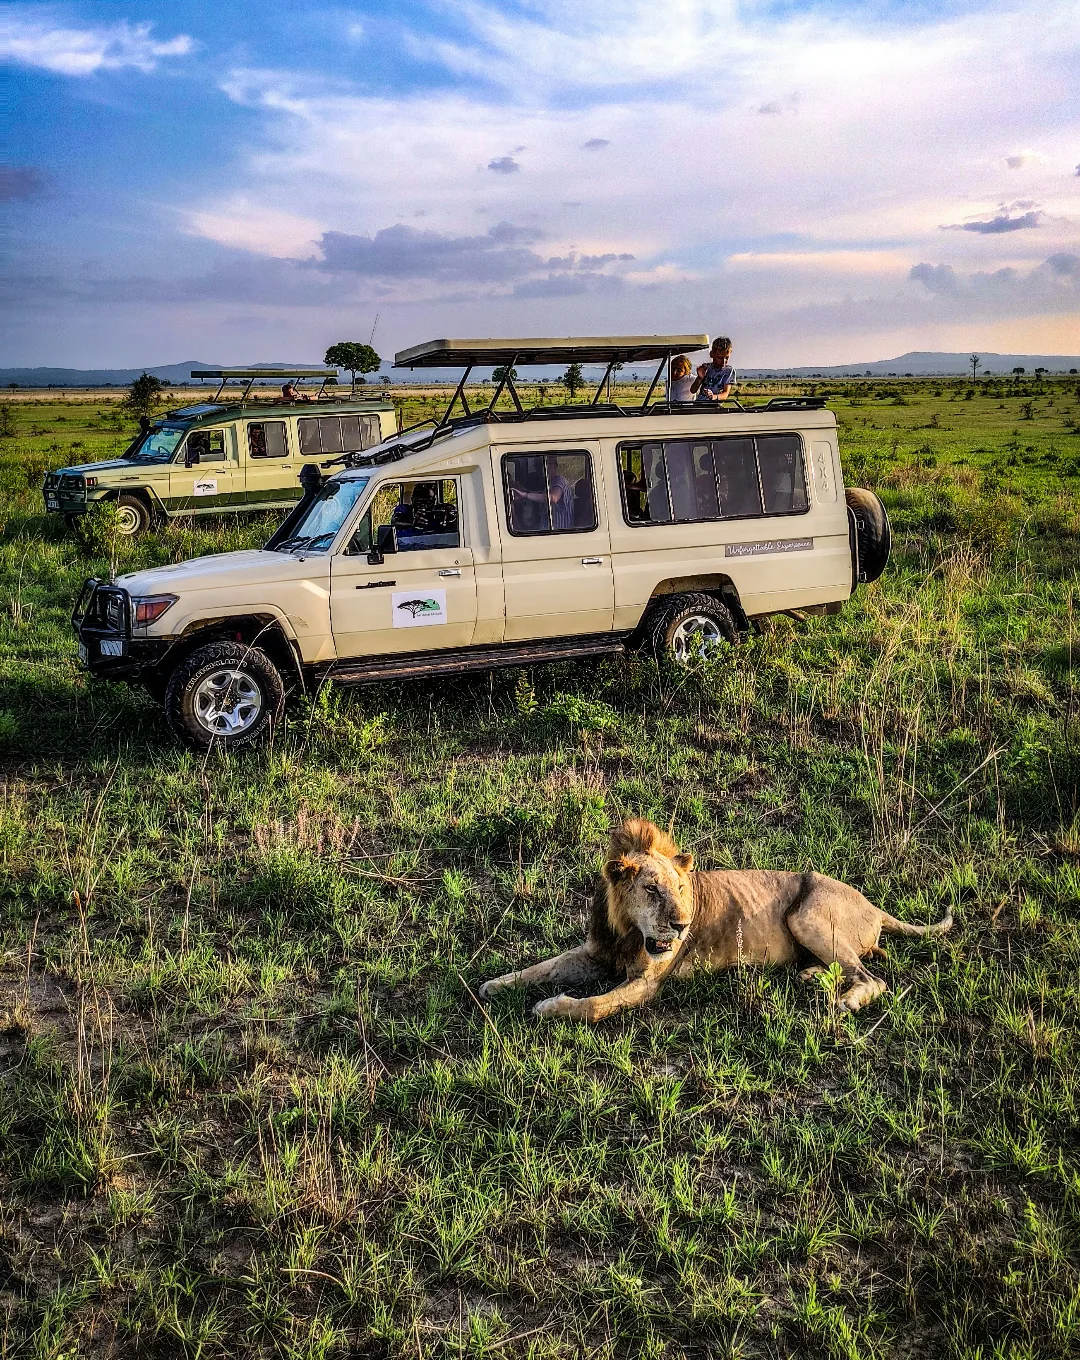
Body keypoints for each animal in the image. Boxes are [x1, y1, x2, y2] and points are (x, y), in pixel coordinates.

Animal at [479, 818, 952, 1021]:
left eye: (681, 888)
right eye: (651, 890)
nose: (681, 926)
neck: (628, 931)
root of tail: (875, 906)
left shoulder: (646, 983)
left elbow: (592, 1005)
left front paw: (549, 1006)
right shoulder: (595, 953)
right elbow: (541, 968)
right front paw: (494, 985)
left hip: (806, 915)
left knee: (872, 978)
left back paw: (847, 1000)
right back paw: (811, 975)